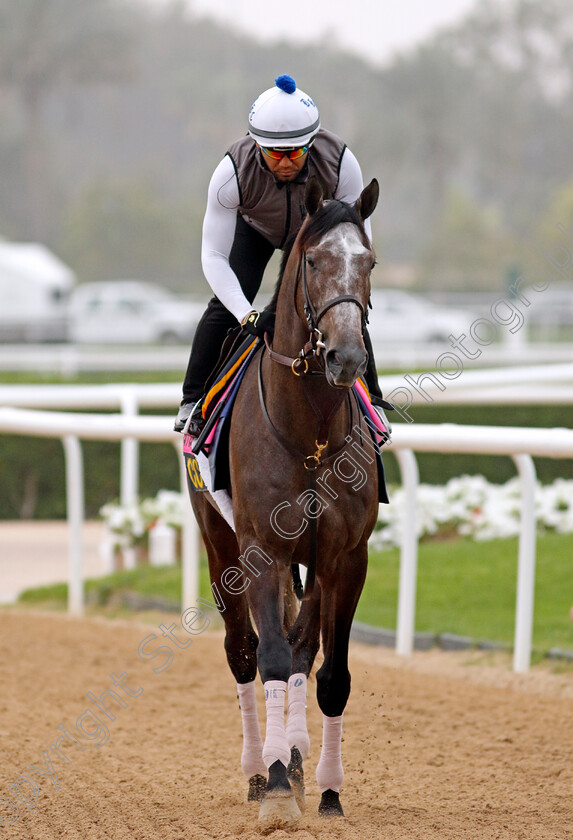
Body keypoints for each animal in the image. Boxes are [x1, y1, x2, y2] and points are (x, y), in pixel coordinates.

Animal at [188, 177, 382, 828]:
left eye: (368, 262)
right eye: (315, 260)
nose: (345, 356)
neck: (311, 436)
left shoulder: (345, 556)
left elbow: (329, 672)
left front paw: (325, 789)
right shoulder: (263, 549)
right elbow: (269, 655)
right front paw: (273, 786)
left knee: (302, 651)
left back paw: (294, 761)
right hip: (220, 546)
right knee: (243, 652)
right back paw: (259, 769)